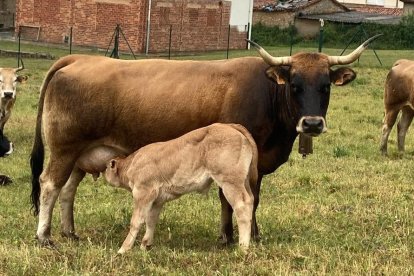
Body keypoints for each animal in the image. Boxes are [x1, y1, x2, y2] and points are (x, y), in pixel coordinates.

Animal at [103, 124, 258, 253]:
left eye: (106, 168)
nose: (104, 172)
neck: (132, 164)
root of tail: (230, 126)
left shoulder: (143, 192)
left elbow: (136, 221)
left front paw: (123, 249)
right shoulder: (157, 200)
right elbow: (151, 220)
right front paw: (145, 245)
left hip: (230, 181)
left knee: (242, 206)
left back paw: (243, 247)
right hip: (243, 181)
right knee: (251, 200)